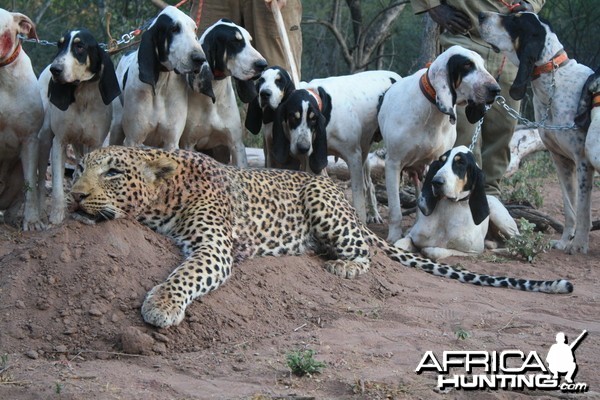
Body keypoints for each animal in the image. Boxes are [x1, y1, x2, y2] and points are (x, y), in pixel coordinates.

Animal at [69, 147, 572, 328]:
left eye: (113, 172)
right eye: (78, 170)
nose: (74, 195)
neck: (167, 193)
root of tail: (344, 199)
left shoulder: (213, 247)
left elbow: (187, 274)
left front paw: (162, 304)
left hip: (321, 203)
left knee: (365, 252)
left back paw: (343, 265)